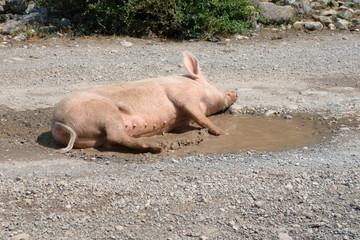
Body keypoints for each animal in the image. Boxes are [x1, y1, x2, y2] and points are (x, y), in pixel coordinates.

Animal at [51, 52, 239, 154]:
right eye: (211, 82)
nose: (235, 92)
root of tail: (56, 122)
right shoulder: (183, 95)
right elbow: (199, 116)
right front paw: (223, 133)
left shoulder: (182, 119)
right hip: (105, 112)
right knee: (115, 134)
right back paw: (156, 147)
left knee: (111, 140)